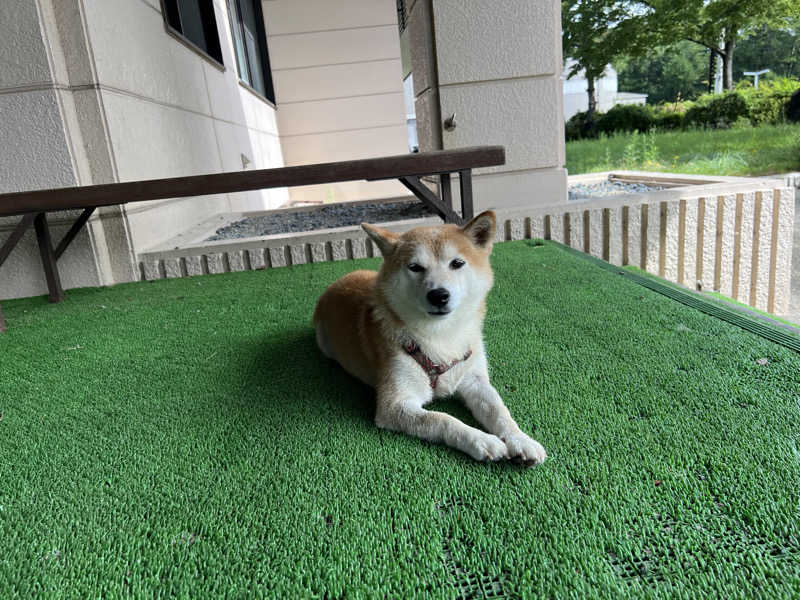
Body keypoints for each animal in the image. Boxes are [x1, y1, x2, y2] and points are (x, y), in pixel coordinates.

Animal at [316, 213, 548, 466]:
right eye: (415, 267)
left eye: (457, 263)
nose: (439, 295)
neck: (442, 336)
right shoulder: (394, 404)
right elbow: (443, 419)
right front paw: (482, 440)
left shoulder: (474, 379)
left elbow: (499, 410)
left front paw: (521, 440)